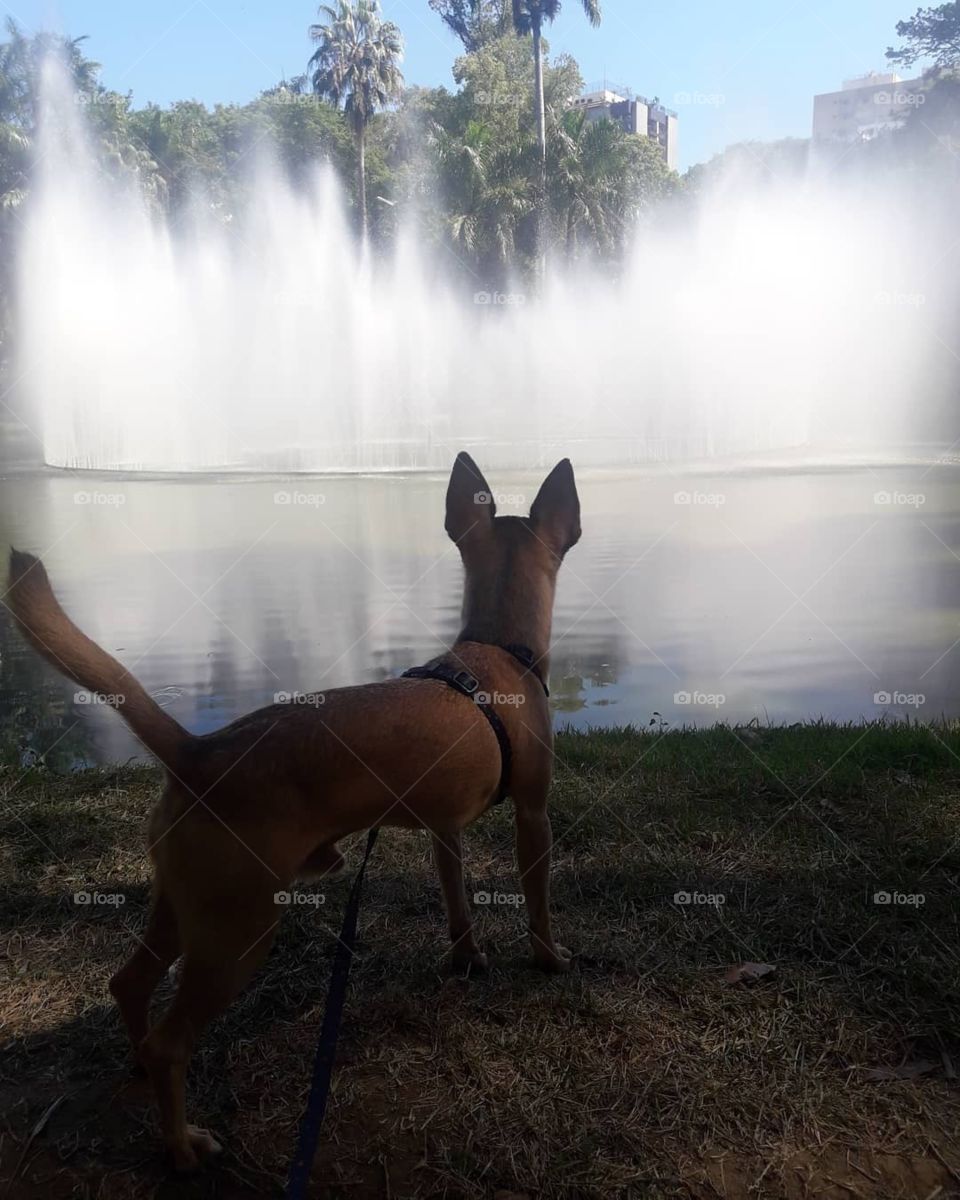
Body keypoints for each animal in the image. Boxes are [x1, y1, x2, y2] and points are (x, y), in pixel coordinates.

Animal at [7, 451, 580, 1171]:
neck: (496, 649)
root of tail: (198, 751)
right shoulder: (534, 816)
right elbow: (537, 901)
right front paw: (551, 959)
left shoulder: (443, 829)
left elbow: (458, 902)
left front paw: (468, 957)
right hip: (240, 932)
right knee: (172, 1041)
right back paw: (183, 1146)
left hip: (187, 905)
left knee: (129, 983)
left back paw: (138, 1064)